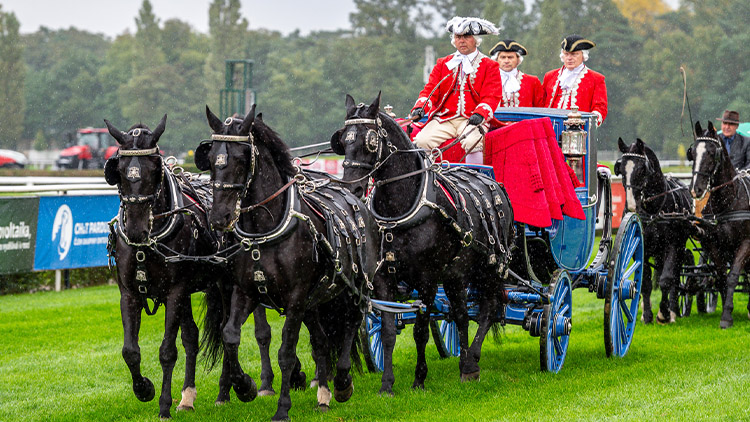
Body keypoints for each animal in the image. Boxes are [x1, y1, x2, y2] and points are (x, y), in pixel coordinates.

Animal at [103, 115, 229, 418]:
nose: (136, 230)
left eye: (155, 169)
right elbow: (130, 351)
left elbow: (167, 351)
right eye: (120, 170)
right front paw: (144, 389)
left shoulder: (175, 291)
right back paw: (188, 397)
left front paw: (163, 404)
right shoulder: (129, 294)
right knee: (192, 337)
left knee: (227, 330)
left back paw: (229, 390)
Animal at [197, 105, 378, 422]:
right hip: (315, 300)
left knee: (351, 323)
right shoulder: (246, 291)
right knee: (321, 340)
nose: (218, 217)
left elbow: (286, 352)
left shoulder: (295, 298)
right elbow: (230, 335)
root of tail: (353, 196)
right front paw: (244, 387)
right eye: (211, 159)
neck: (265, 229)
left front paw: (282, 407)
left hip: (355, 287)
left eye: (242, 158)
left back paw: (342, 382)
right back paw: (323, 395)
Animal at [330, 94, 516, 394]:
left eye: (370, 141)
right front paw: (387, 384)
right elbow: (388, 331)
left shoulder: (427, 278)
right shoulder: (384, 278)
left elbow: (420, 330)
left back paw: (472, 362)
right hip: (456, 275)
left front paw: (419, 379)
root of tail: (491, 181)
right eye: (344, 141)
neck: (401, 207)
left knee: (487, 309)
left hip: (490, 267)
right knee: (461, 314)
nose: (352, 188)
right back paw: (464, 363)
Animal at [616, 138, 692, 324]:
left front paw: (663, 313)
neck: (653, 210)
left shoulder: (672, 245)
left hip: (678, 248)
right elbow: (645, 283)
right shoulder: (641, 247)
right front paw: (647, 314)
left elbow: (666, 280)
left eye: (642, 169)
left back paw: (673, 310)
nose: (631, 205)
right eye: (621, 169)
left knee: (675, 275)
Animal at [692, 120, 750, 328]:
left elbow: (733, 276)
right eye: (692, 152)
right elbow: (721, 277)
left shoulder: (746, 243)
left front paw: (726, 316)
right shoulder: (714, 244)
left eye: (712, 152)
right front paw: (727, 308)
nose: (696, 188)